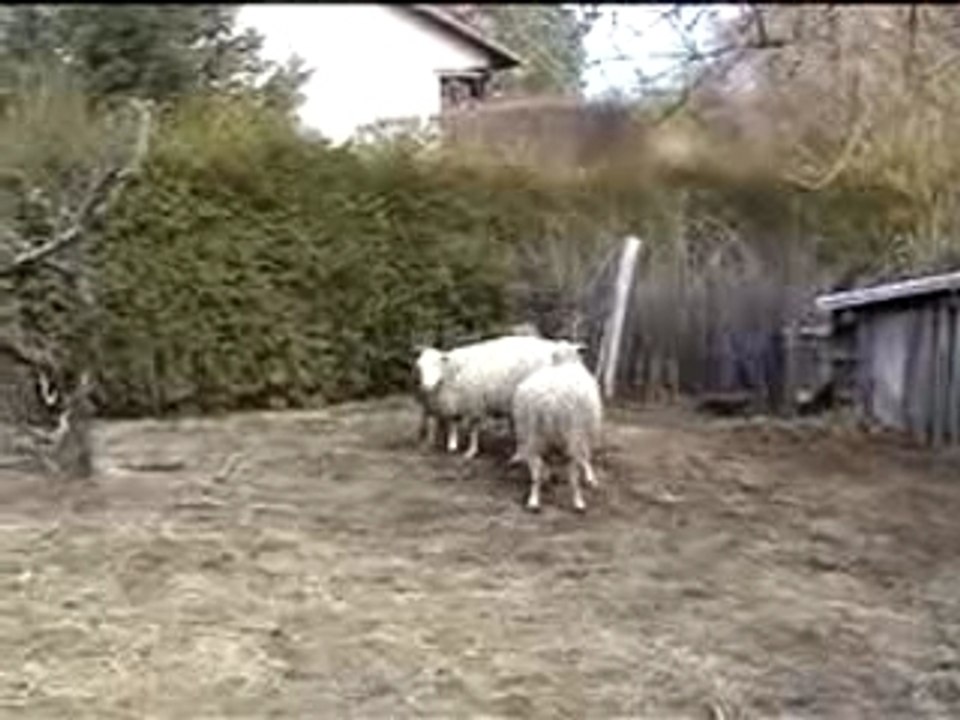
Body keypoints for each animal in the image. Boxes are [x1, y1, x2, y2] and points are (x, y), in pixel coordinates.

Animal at [417, 335, 582, 458]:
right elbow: (453, 422)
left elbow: (473, 428)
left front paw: (471, 451)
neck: (453, 371)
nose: (425, 386)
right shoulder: (454, 402)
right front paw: (452, 445)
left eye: (436, 364)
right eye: (419, 367)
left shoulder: (474, 403)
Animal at [510, 344, 602, 513]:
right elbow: (586, 457)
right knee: (573, 473)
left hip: (530, 431)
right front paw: (590, 476)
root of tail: (549, 400)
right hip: (573, 433)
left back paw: (534, 499)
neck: (565, 362)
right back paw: (578, 501)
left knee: (536, 467)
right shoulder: (585, 432)